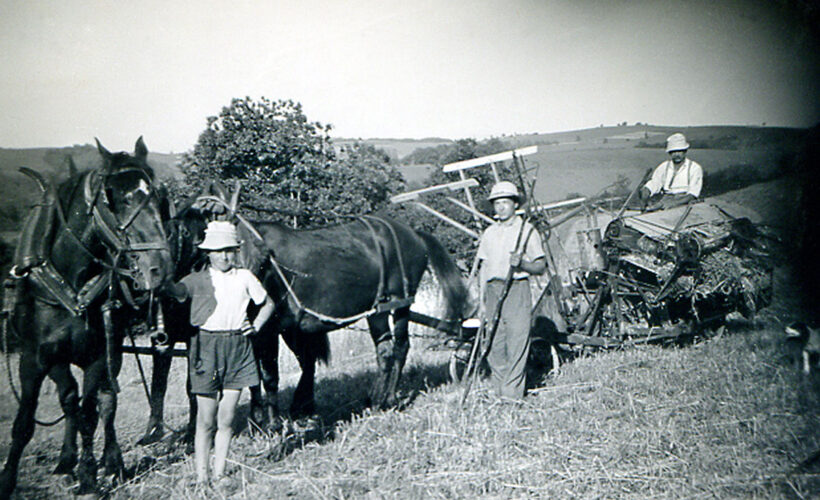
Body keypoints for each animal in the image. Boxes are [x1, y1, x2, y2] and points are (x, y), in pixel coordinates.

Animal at [0, 138, 171, 496]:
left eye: (159, 199)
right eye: (115, 198)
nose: (159, 268)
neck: (72, 280)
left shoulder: (97, 356)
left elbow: (92, 412)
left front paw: (91, 475)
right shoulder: (34, 358)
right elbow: (25, 422)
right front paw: (8, 479)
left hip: (110, 350)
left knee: (104, 403)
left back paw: (111, 461)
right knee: (68, 398)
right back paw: (67, 460)